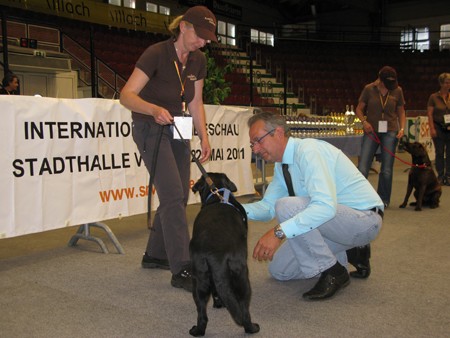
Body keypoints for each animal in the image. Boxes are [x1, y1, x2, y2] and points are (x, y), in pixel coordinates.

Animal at [189, 173, 260, 336]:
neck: (218, 195)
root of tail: (215, 254)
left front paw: (218, 303)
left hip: (199, 278)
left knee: (202, 314)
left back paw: (198, 331)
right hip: (242, 276)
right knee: (244, 310)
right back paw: (252, 328)